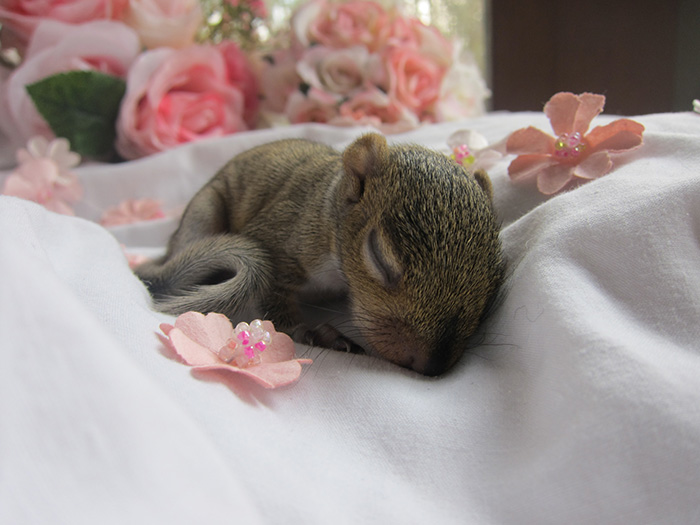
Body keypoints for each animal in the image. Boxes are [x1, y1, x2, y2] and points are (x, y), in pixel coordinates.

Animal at [135, 133, 504, 374]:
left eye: (493, 281)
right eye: (379, 257)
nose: (432, 365)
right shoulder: (278, 235)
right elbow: (273, 300)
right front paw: (311, 332)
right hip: (202, 215)